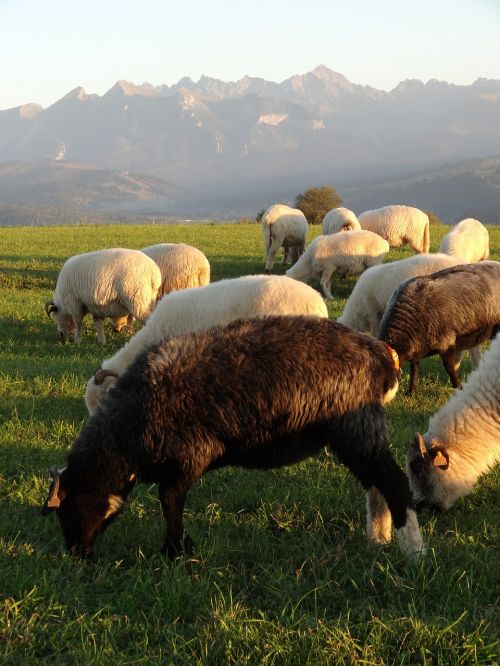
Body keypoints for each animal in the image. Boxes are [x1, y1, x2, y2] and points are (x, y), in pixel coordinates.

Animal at [41, 316, 424, 560]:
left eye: (69, 510)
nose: (77, 554)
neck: (127, 436)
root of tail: (380, 355)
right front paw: (177, 548)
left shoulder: (191, 455)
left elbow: (168, 500)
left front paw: (177, 551)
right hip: (353, 434)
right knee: (376, 486)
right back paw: (378, 540)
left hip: (356, 426)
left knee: (394, 483)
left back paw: (413, 552)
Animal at [378, 260, 500, 394]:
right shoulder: (417, 346)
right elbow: (414, 368)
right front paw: (411, 392)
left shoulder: (446, 342)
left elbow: (449, 367)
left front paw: (459, 388)